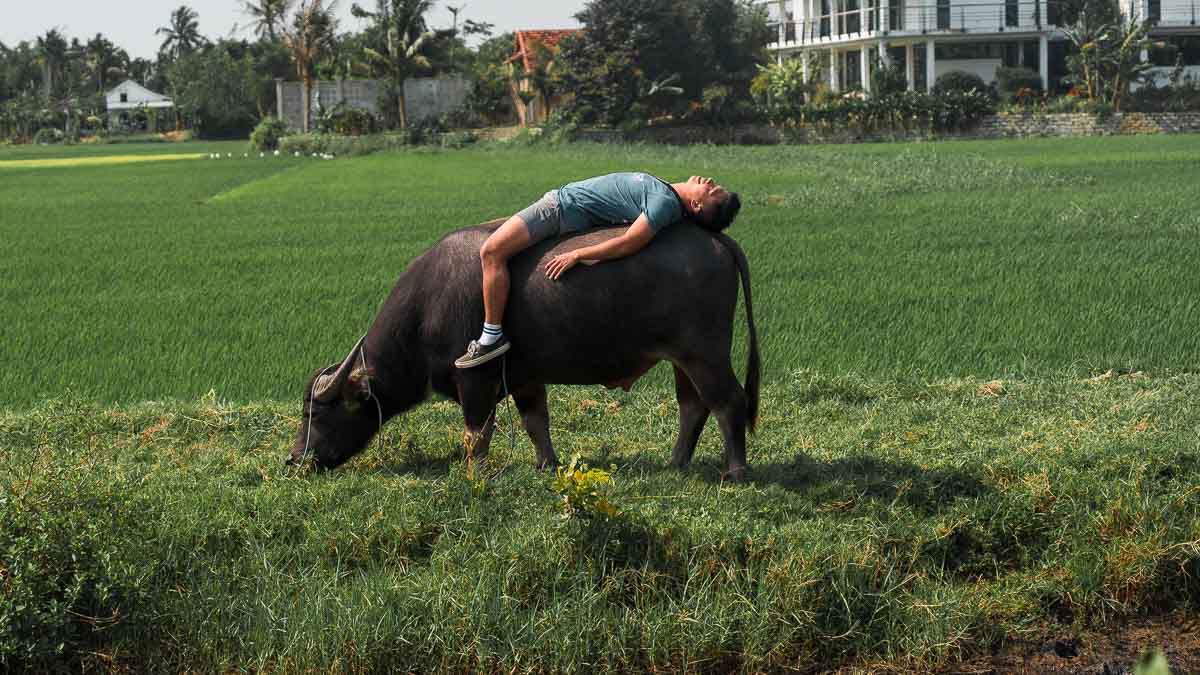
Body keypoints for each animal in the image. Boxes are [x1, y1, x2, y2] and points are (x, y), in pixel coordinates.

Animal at [286, 218, 758, 475]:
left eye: (316, 413)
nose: (294, 459)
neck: (426, 309)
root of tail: (715, 240)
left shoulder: (474, 380)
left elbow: (477, 433)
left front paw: (473, 474)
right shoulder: (527, 379)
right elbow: (536, 423)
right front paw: (547, 465)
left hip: (705, 352)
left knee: (727, 402)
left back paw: (735, 471)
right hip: (682, 358)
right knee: (693, 406)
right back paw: (676, 462)